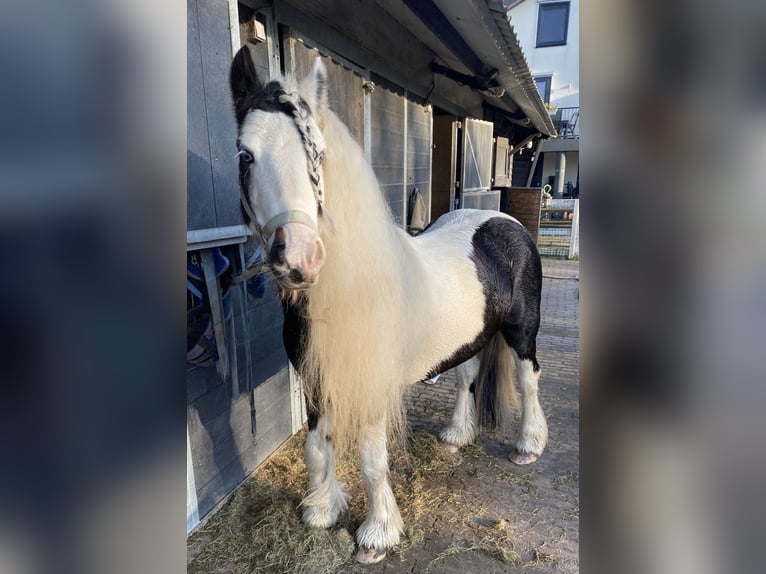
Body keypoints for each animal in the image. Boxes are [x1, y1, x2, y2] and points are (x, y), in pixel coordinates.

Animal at [231, 46, 548, 568]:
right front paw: (321, 510)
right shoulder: (316, 381)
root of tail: (504, 221)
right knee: (467, 374)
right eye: (244, 154)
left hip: (522, 333)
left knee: (527, 381)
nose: (298, 257)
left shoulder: (371, 386)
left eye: (317, 154)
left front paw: (376, 535)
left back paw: (528, 445)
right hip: (472, 335)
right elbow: (317, 447)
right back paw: (456, 435)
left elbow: (371, 459)